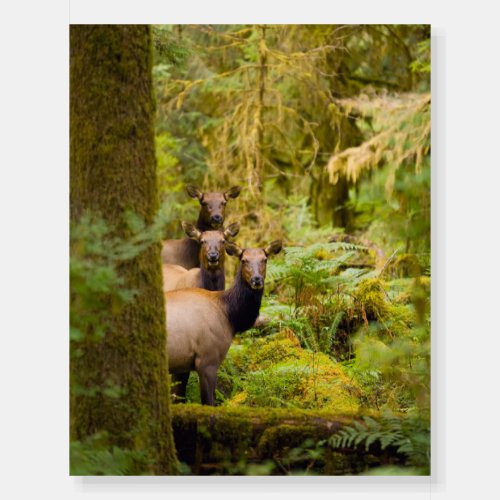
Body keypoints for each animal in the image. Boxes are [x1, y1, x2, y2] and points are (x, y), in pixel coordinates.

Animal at [165, 239, 280, 406]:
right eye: (243, 260)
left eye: (265, 259)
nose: (256, 279)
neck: (230, 316)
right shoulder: (208, 360)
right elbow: (209, 404)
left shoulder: (183, 364)